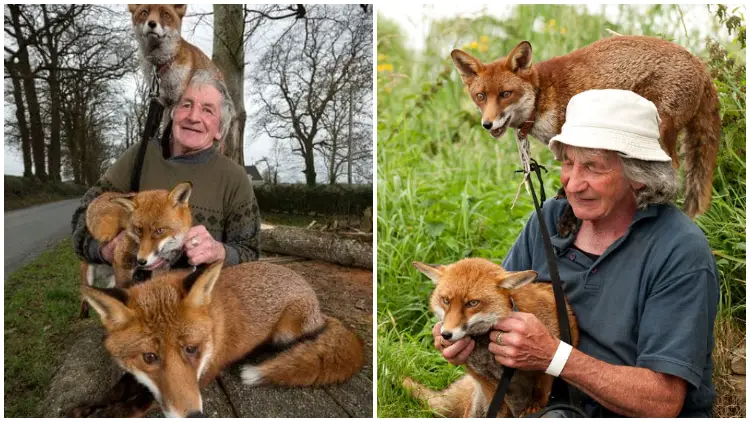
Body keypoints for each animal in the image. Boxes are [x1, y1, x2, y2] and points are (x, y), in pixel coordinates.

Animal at [71, 262, 368, 418]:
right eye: (149, 357)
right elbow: (123, 385)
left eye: (192, 349)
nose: (194, 416)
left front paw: (110, 412)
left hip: (288, 331)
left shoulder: (205, 373)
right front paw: (92, 405)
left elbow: (139, 401)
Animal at [406, 258, 580, 418]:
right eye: (446, 301)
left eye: (472, 303)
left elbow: (541, 391)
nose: (445, 335)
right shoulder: (485, 380)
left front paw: (534, 408)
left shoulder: (545, 364)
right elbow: (497, 409)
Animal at [452, 35, 724, 218]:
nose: (487, 124)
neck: (542, 95)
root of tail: (702, 66)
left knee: (671, 168)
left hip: (659, 130)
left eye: (506, 94)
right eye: (480, 96)